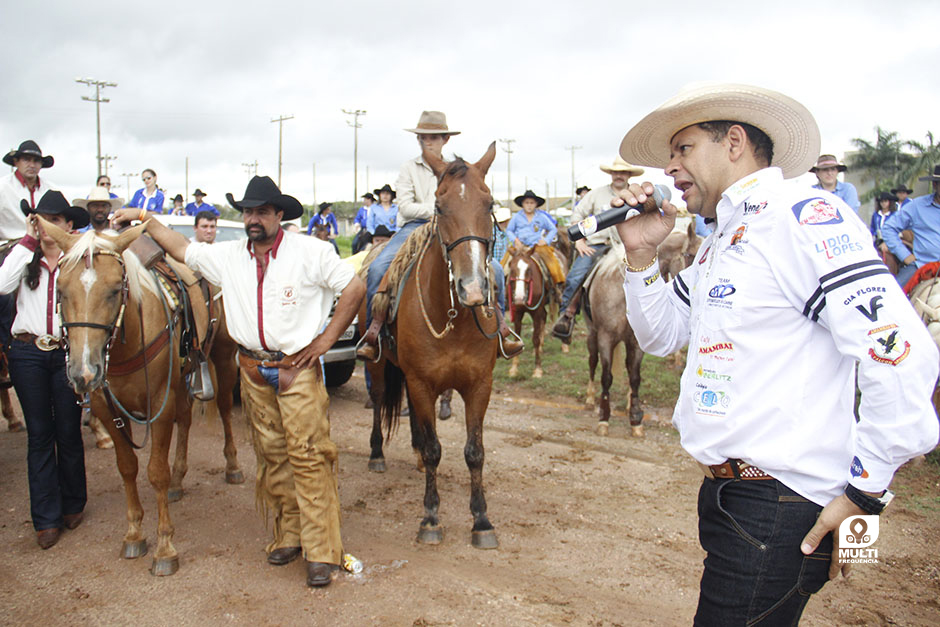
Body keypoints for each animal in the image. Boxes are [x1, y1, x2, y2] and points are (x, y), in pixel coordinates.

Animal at [44, 218, 242, 576]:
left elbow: (155, 472)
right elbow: (127, 468)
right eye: (61, 291)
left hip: (221, 357)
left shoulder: (159, 405)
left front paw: (164, 548)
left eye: (114, 290)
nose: (83, 371)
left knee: (222, 409)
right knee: (186, 420)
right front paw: (134, 532)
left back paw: (232, 466)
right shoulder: (107, 408)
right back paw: (179, 481)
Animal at [376, 144, 506, 548]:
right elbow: (436, 449)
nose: (473, 288)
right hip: (377, 365)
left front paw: (482, 520)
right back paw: (376, 454)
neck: (455, 322)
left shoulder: (480, 385)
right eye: (439, 205)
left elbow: (475, 452)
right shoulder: (420, 382)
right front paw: (431, 518)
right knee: (378, 406)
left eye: (489, 202)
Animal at [506, 248, 564, 380]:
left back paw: (565, 346)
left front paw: (538, 370)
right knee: (545, 316)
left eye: (529, 269)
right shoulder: (517, 313)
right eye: (511, 268)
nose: (519, 298)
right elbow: (517, 338)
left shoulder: (536, 312)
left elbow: (535, 339)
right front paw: (514, 369)